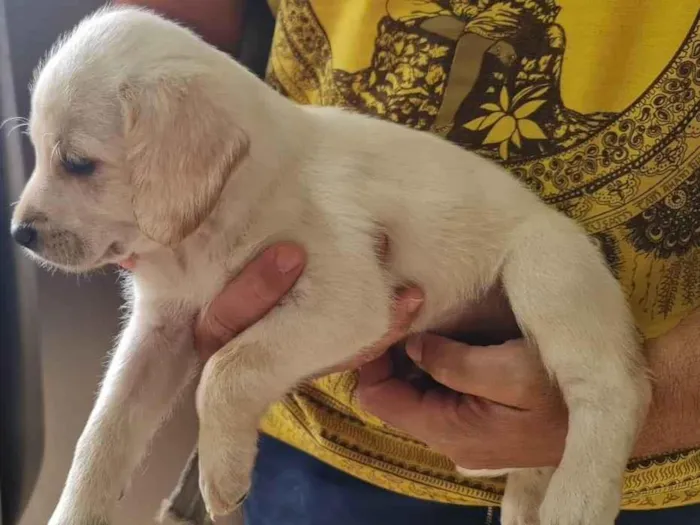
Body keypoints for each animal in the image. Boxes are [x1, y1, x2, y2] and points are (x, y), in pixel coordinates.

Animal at [12, 7, 652, 524]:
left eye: (77, 163)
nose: (18, 234)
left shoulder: (346, 301)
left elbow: (227, 370)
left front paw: (222, 476)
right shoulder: (159, 330)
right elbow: (102, 435)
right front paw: (77, 509)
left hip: (544, 273)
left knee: (612, 391)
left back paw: (578, 501)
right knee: (536, 455)